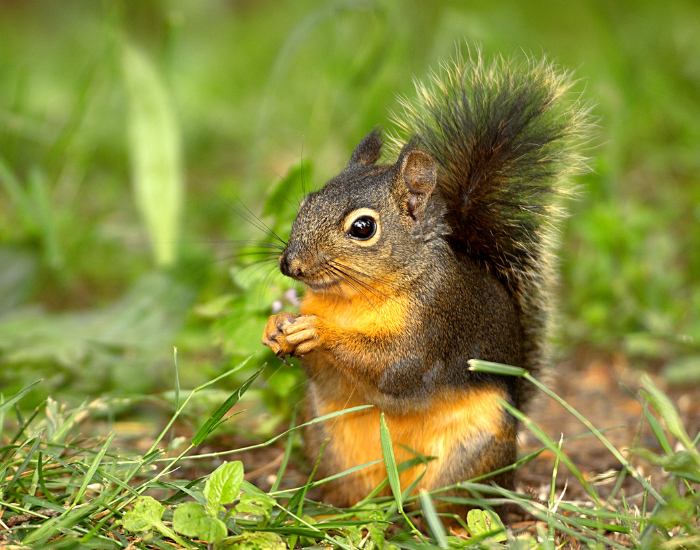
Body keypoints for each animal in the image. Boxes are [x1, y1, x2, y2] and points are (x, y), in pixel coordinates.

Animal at [262, 50, 591, 510]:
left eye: (363, 227)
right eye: (306, 203)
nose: (290, 265)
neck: (353, 299)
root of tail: (393, 493)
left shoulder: (435, 324)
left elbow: (394, 368)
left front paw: (318, 331)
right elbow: (321, 374)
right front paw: (275, 327)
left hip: (471, 452)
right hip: (325, 437)